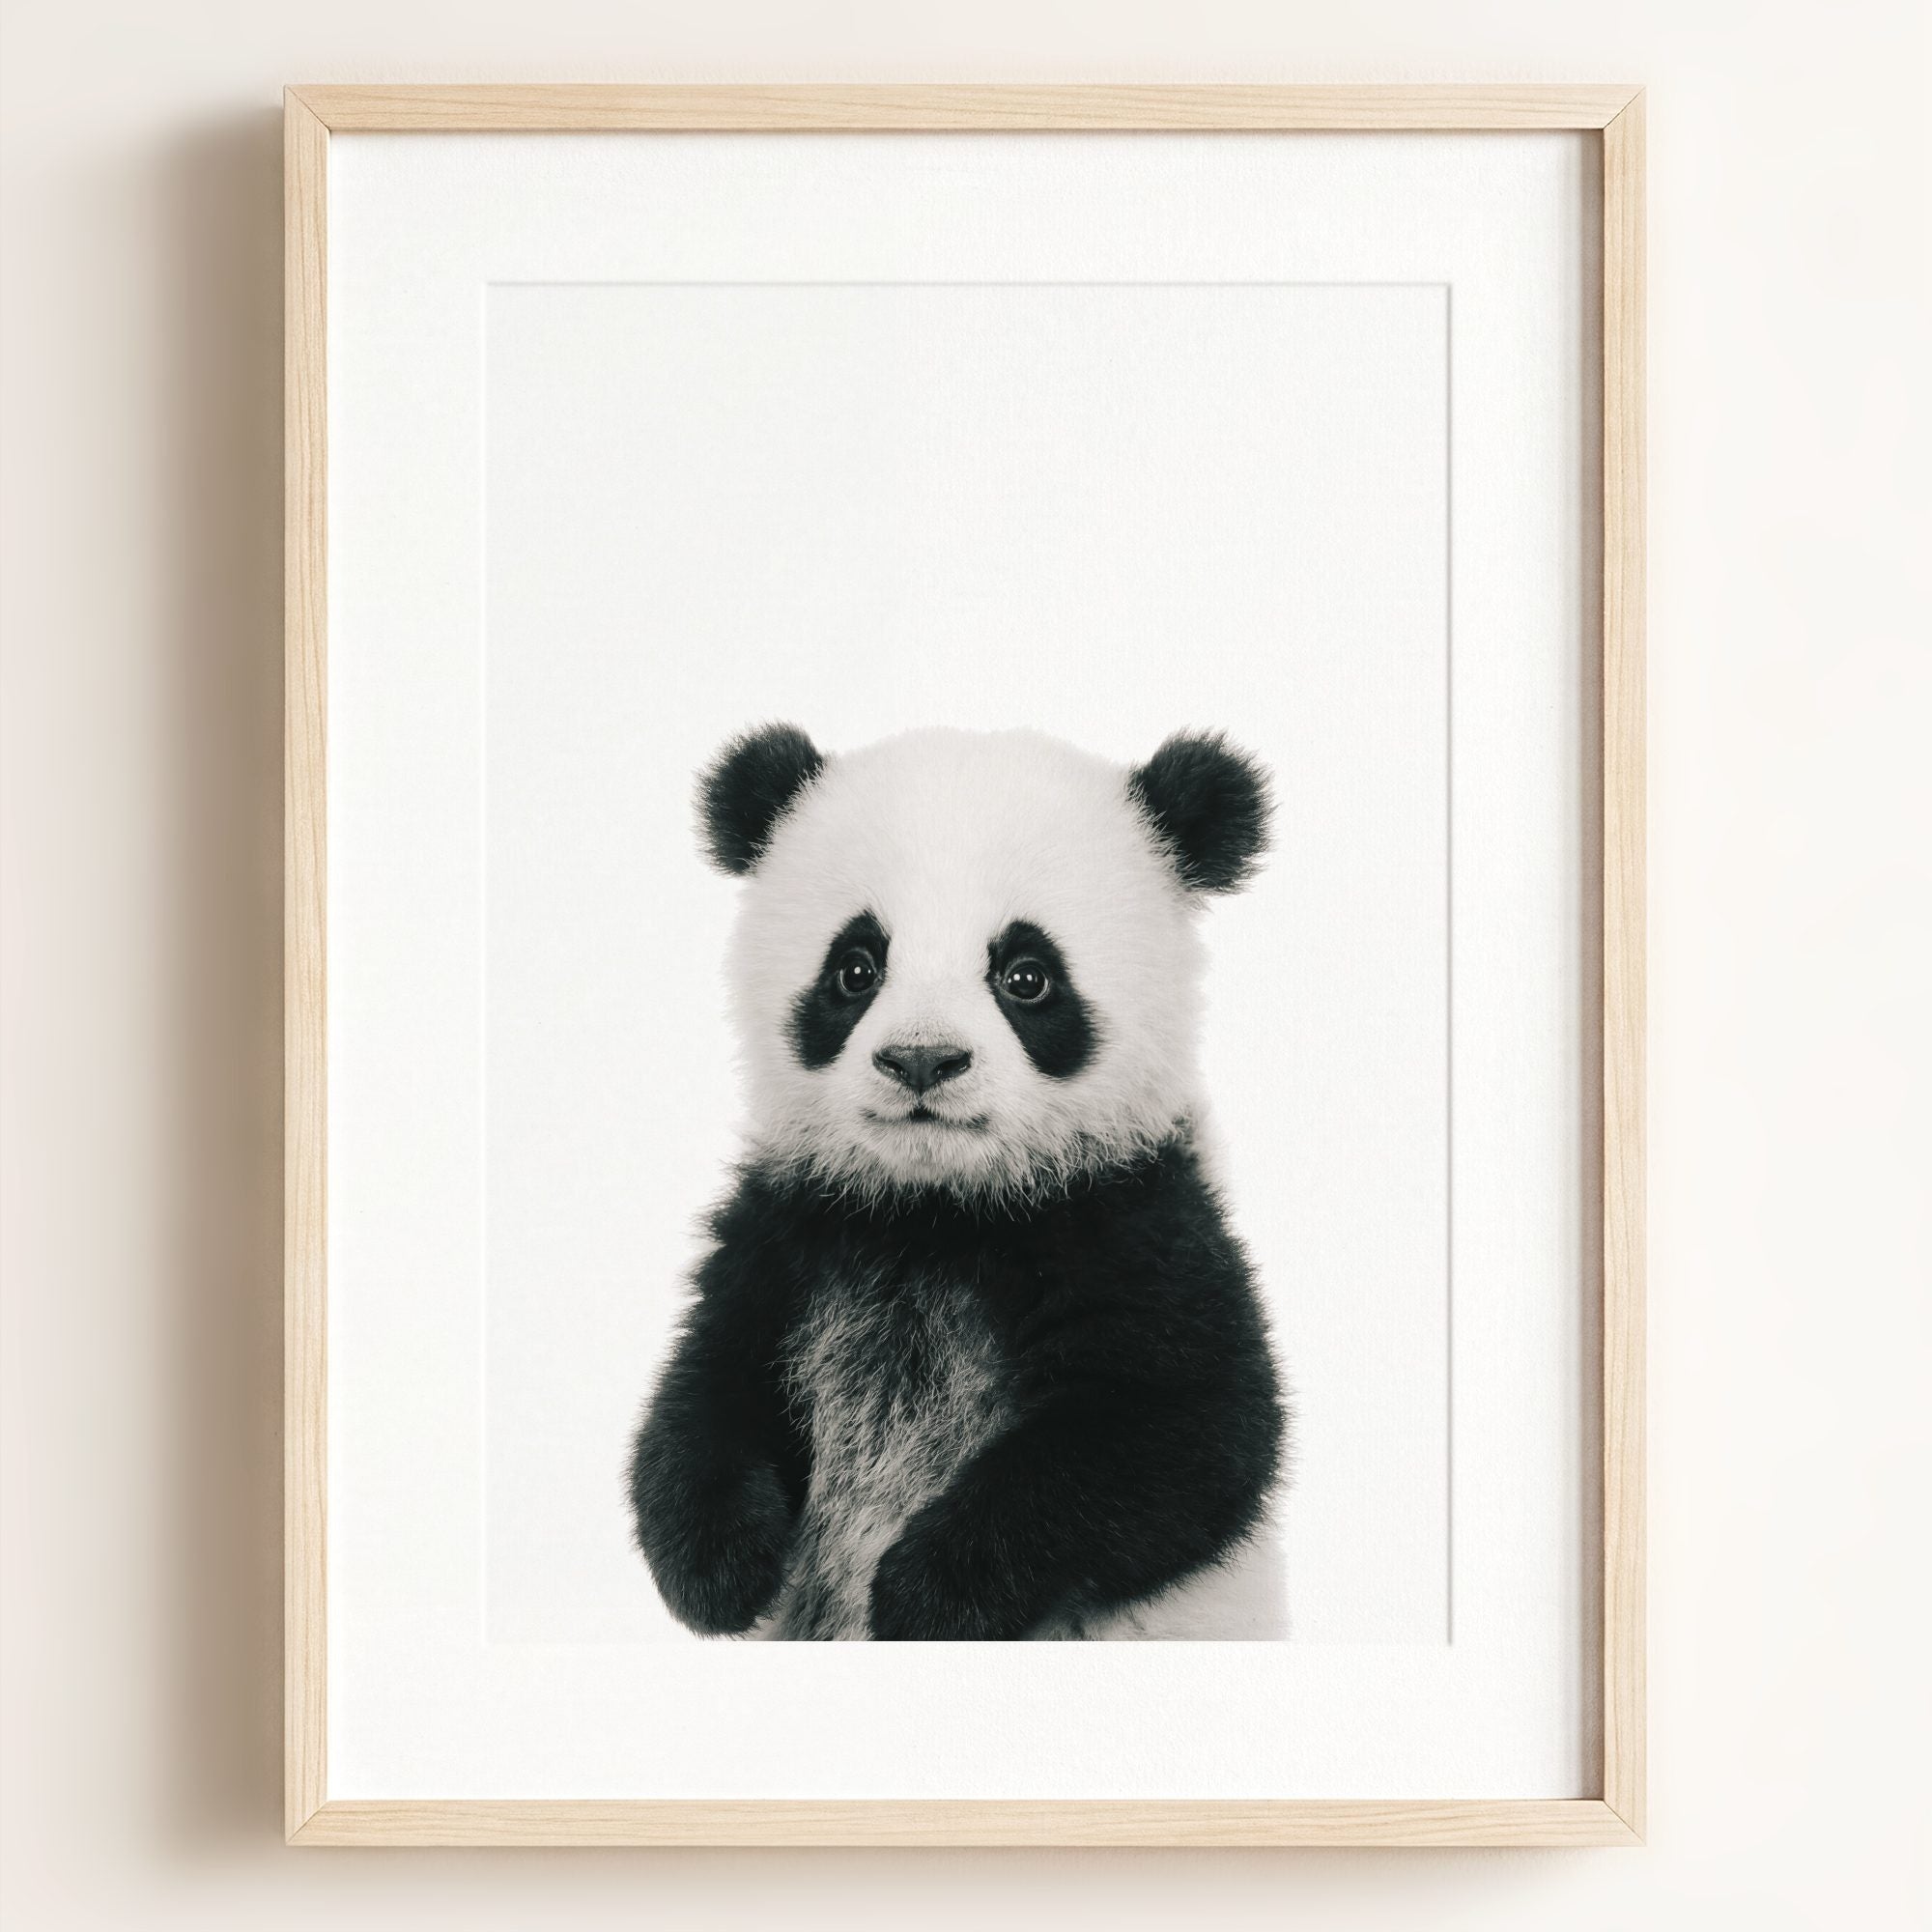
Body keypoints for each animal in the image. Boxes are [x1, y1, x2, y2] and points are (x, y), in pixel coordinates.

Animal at [627, 723, 1288, 1641]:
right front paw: (719, 1568)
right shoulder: (792, 1229)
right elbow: (710, 1386)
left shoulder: (1135, 1222)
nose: (921, 1060)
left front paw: (926, 1594)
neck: (938, 1211)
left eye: (1026, 975)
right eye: (856, 968)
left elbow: (1183, 1433)